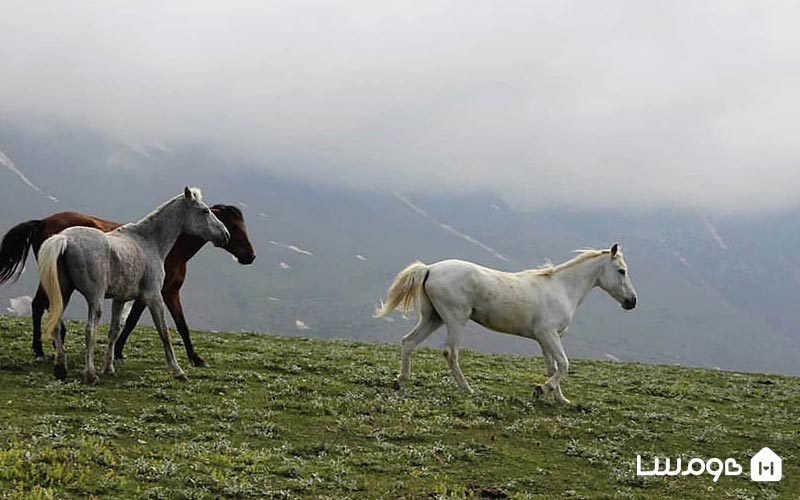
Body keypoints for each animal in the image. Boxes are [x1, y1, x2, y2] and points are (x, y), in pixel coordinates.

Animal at [0, 204, 256, 368]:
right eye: (234, 227)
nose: (250, 256)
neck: (167, 246)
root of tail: (43, 222)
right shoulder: (159, 293)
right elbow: (156, 323)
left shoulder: (158, 293)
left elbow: (159, 323)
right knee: (39, 305)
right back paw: (41, 349)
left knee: (40, 305)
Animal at [376, 244, 636, 404]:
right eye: (621, 271)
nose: (631, 301)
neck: (561, 288)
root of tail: (429, 269)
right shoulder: (549, 334)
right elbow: (563, 365)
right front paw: (542, 389)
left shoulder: (545, 339)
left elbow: (553, 367)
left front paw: (559, 399)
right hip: (455, 318)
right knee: (450, 352)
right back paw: (467, 389)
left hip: (433, 318)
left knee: (408, 342)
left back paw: (400, 381)